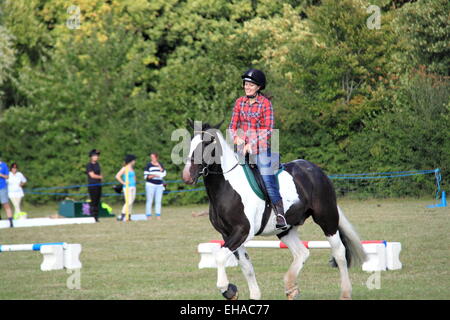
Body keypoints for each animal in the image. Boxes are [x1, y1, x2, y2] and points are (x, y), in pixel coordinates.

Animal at [181, 122, 368, 300]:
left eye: (207, 144)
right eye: (191, 144)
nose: (187, 175)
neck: (227, 187)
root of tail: (315, 170)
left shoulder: (243, 231)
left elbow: (220, 257)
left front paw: (227, 288)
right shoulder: (227, 234)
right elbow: (246, 266)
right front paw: (247, 294)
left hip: (326, 218)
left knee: (339, 252)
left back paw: (345, 293)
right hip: (286, 229)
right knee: (302, 253)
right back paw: (291, 288)